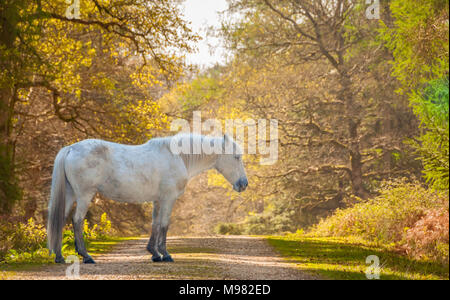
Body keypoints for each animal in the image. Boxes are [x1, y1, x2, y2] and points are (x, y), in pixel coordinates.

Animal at [47, 134, 248, 262]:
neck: (177, 156)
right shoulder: (168, 199)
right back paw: (86, 256)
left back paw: (59, 256)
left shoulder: (158, 200)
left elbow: (155, 224)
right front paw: (165, 255)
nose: (243, 184)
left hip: (70, 194)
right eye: (236, 157)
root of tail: (71, 148)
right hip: (84, 195)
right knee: (77, 220)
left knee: (61, 219)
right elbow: (165, 225)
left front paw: (154, 253)